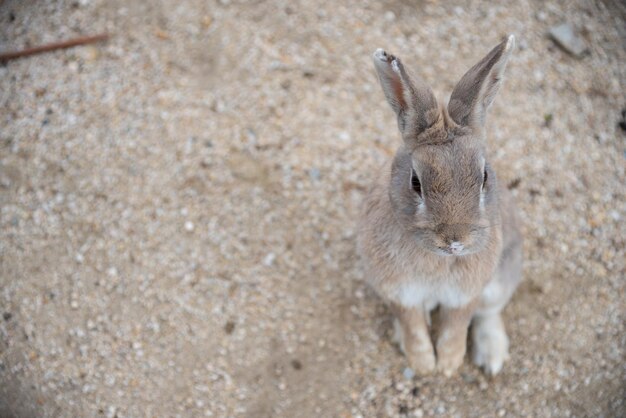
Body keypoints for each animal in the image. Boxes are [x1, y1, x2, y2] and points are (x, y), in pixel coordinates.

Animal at [356, 35, 520, 376]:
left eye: (484, 176)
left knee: (489, 313)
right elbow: (414, 328)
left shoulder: (465, 295)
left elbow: (455, 327)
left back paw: (492, 358)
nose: (455, 242)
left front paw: (447, 365)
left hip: (502, 277)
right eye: (415, 182)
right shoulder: (399, 292)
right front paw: (423, 365)